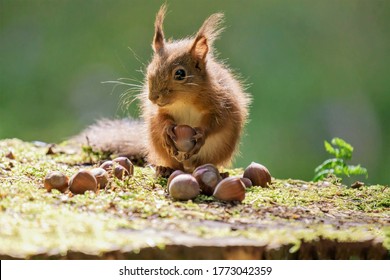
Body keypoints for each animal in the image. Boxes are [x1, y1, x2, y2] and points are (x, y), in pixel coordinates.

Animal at [72, 4, 250, 177]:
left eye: (180, 74)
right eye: (150, 68)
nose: (153, 97)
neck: (184, 101)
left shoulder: (222, 103)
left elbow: (217, 122)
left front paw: (201, 134)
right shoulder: (158, 110)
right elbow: (160, 118)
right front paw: (166, 130)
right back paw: (165, 169)